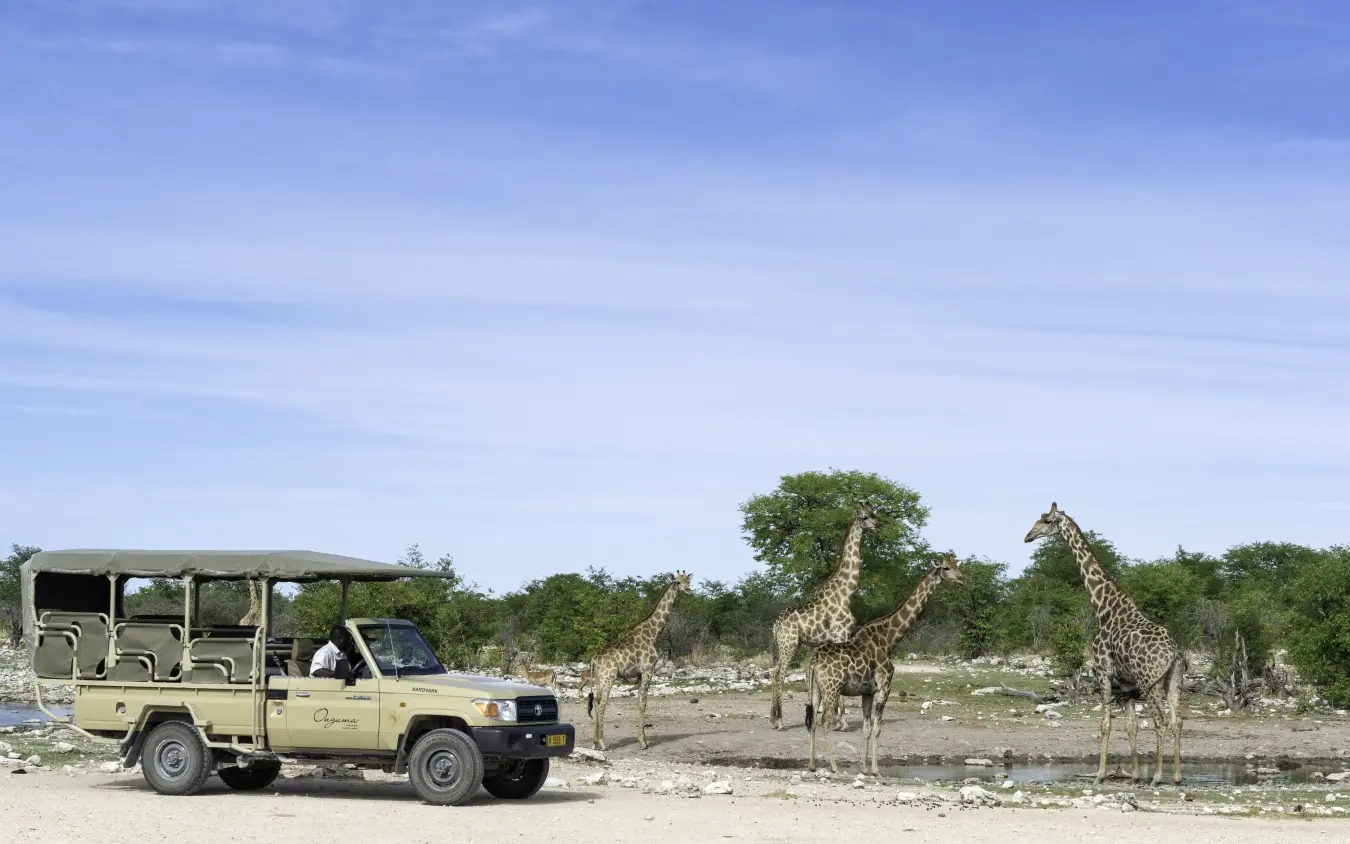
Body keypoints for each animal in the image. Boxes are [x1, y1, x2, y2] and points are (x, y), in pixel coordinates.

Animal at [586, 570, 692, 750]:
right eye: (677, 582)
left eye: (688, 581)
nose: (688, 589)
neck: (653, 633)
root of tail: (594, 659)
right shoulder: (648, 670)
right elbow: (643, 703)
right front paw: (643, 742)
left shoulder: (639, 674)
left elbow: (639, 703)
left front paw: (642, 739)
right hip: (608, 677)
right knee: (602, 704)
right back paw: (603, 743)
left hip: (599, 678)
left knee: (597, 700)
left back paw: (595, 742)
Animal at [769, 503, 881, 730]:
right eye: (865, 517)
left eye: (874, 514)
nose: (879, 525)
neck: (847, 593)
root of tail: (776, 625)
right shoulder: (840, 633)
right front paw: (842, 722)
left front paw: (836, 718)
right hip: (789, 644)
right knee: (779, 674)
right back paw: (780, 721)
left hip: (787, 645)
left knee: (774, 672)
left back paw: (773, 718)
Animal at [805, 553, 966, 774]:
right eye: (947, 568)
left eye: (956, 564)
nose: (962, 579)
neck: (888, 641)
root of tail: (814, 661)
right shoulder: (884, 687)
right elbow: (877, 728)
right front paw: (875, 770)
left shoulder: (867, 692)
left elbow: (866, 729)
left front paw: (864, 768)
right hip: (832, 688)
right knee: (824, 722)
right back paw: (834, 767)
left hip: (815, 689)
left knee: (812, 721)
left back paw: (812, 765)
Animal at [1025, 502, 1187, 785]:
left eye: (1046, 521)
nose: (1028, 536)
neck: (1102, 607)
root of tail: (1174, 653)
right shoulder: (1127, 683)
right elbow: (1131, 726)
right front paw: (1134, 776)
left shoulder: (1104, 670)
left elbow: (1105, 724)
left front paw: (1100, 774)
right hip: (1173, 680)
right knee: (1177, 721)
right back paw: (1176, 776)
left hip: (1151, 681)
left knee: (1161, 720)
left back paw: (1157, 776)